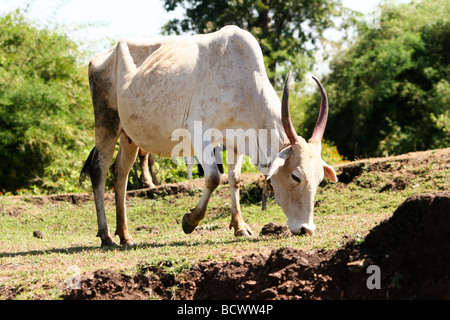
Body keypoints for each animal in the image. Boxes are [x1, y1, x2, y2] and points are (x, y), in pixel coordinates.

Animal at [79, 25, 336, 248]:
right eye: (295, 177)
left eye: (319, 179)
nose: (306, 229)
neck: (242, 82)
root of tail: (102, 57)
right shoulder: (199, 134)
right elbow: (213, 178)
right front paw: (189, 221)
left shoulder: (236, 141)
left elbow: (234, 178)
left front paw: (240, 226)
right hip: (107, 124)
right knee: (100, 170)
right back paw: (106, 237)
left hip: (129, 136)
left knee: (120, 174)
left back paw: (125, 236)